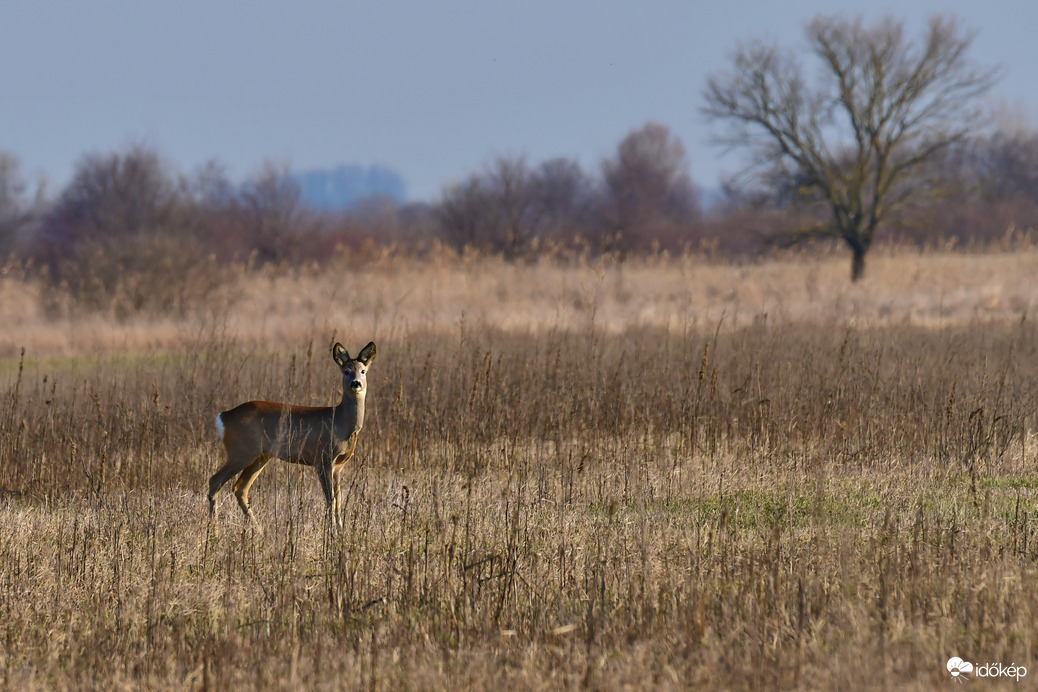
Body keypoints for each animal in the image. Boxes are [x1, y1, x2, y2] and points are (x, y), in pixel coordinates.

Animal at [207, 340, 377, 531]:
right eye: (346, 371)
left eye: (363, 371)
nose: (356, 383)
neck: (341, 423)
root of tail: (223, 416)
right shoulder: (323, 458)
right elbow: (330, 500)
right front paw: (331, 532)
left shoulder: (338, 466)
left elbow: (338, 500)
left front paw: (340, 531)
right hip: (240, 451)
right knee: (215, 481)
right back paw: (214, 532)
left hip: (260, 456)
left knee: (240, 488)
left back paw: (259, 531)